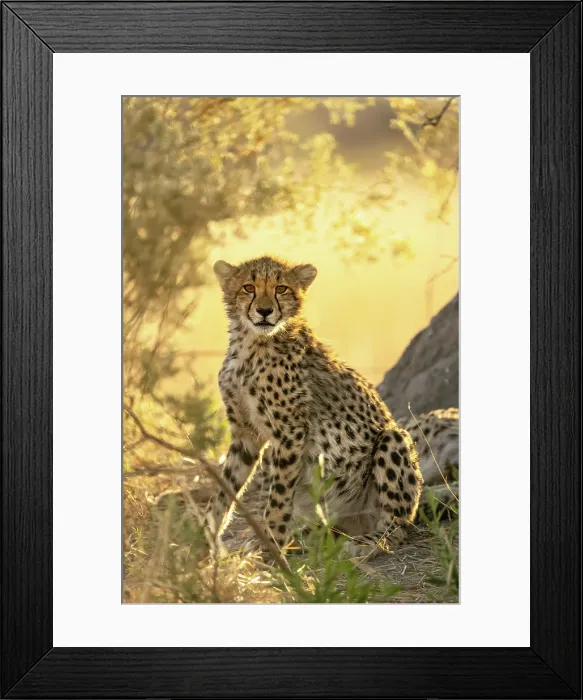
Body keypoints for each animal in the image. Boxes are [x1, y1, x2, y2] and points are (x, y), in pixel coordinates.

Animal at [204, 255, 423, 559]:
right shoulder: (246, 434)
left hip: (392, 439)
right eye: (248, 287)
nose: (264, 311)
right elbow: (223, 489)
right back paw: (301, 537)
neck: (251, 342)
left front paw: (272, 547)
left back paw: (365, 543)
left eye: (281, 289)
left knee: (398, 525)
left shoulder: (291, 432)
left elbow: (278, 498)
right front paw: (205, 540)